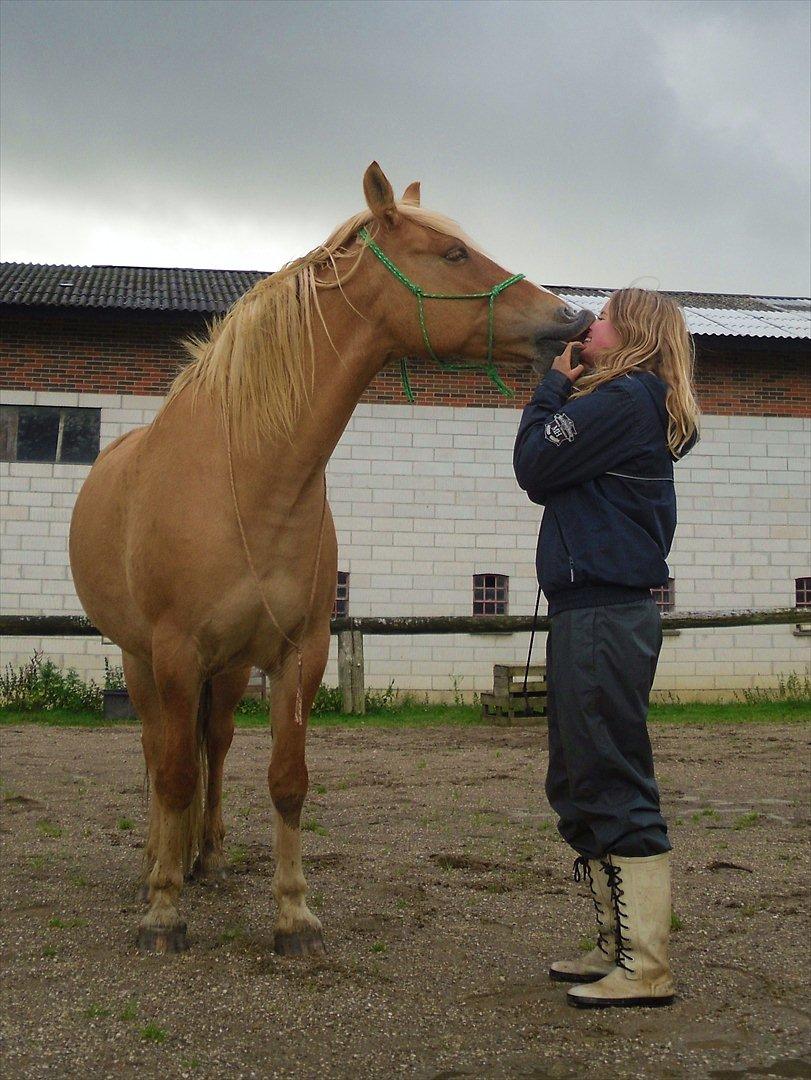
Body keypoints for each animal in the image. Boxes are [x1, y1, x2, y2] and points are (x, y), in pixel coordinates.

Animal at [69, 162, 591, 954]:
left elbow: (286, 779)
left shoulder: (299, 652)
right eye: (454, 254)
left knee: (213, 744)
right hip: (143, 659)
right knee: (160, 753)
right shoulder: (174, 652)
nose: (570, 323)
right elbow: (172, 776)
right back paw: (160, 861)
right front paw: (163, 911)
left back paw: (204, 855)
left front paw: (293, 915)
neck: (249, 476)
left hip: (228, 671)